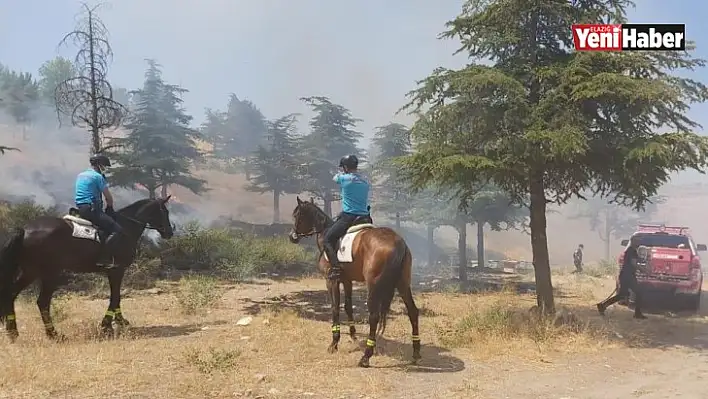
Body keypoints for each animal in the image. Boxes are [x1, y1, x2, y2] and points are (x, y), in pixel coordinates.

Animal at [0, 197, 174, 340]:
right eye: (164, 211)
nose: (169, 233)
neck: (125, 228)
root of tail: (24, 230)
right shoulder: (117, 270)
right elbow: (115, 297)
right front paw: (106, 326)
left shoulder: (113, 272)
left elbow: (116, 297)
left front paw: (120, 322)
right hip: (45, 273)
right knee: (41, 301)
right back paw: (52, 334)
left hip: (31, 272)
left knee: (12, 294)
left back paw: (13, 333)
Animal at [288, 197, 420, 368]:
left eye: (296, 215)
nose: (292, 236)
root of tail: (398, 243)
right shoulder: (347, 280)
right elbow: (348, 306)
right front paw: (353, 335)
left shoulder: (331, 280)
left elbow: (335, 308)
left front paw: (334, 343)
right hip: (402, 284)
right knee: (413, 311)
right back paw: (416, 352)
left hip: (374, 285)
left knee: (374, 316)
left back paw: (366, 357)